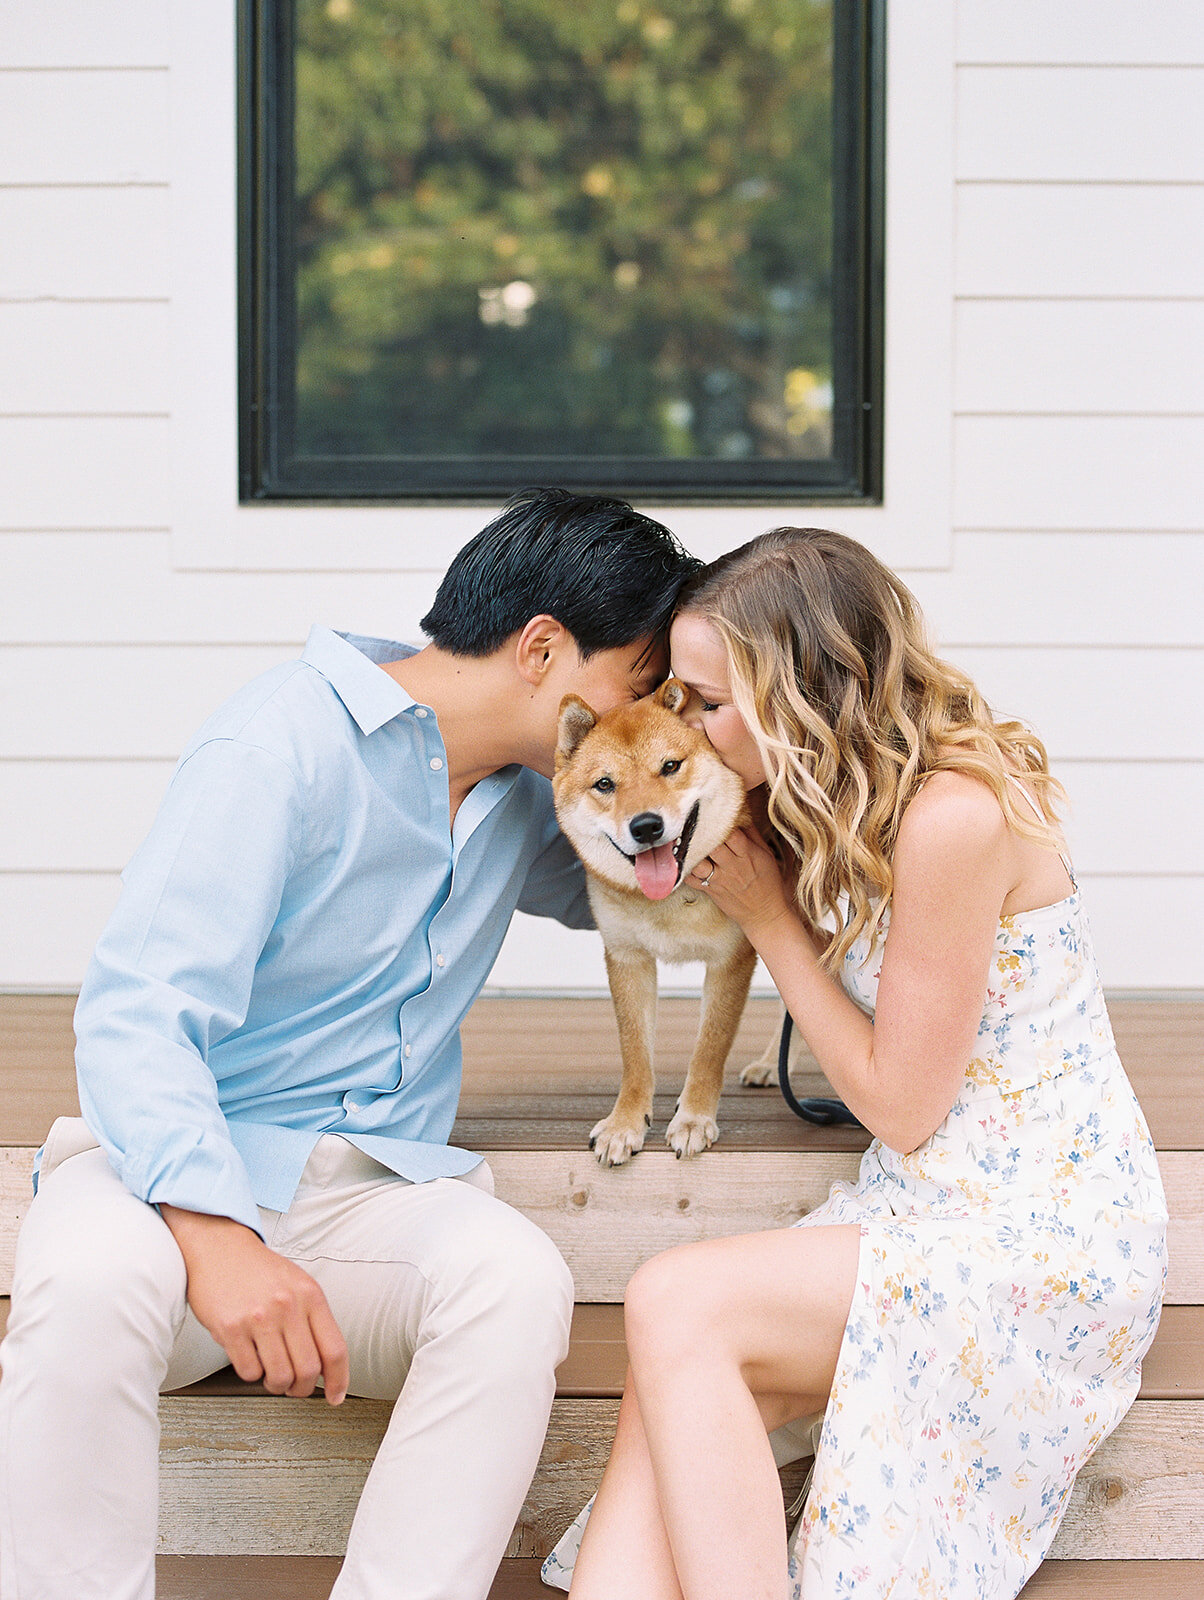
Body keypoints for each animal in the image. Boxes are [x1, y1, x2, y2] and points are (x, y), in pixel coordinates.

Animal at [553, 675, 765, 1164]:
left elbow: (708, 1050)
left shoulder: (732, 959)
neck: (669, 899)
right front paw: (625, 1123)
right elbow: (635, 1054)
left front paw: (693, 1120)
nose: (646, 825)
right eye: (605, 784)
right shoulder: (627, 958)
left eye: (670, 766)